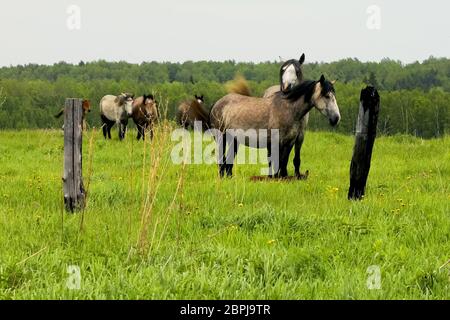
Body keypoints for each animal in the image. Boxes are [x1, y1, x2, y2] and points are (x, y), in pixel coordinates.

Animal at [211, 76, 342, 179]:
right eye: (326, 96)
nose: (336, 118)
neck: (288, 109)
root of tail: (217, 104)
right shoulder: (277, 142)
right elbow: (276, 161)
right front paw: (276, 178)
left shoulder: (290, 142)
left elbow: (284, 161)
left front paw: (283, 177)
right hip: (221, 138)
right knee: (221, 159)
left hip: (233, 140)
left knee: (229, 160)